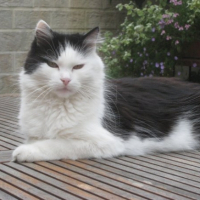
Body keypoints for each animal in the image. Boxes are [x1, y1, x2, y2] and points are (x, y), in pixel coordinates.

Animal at [12, 19, 200, 162]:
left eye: (78, 67)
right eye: (53, 65)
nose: (65, 80)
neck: (57, 107)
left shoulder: (106, 141)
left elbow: (58, 144)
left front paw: (25, 151)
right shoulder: (34, 134)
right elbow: (40, 139)